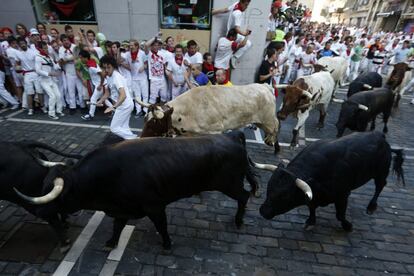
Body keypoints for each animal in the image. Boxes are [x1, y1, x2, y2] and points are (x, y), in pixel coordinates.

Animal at [14, 132, 268, 250]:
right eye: (43, 185)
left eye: (55, 195)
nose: (39, 212)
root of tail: (231, 135)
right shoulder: (122, 209)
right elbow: (117, 227)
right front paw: (110, 242)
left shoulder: (155, 206)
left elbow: (161, 226)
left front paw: (167, 244)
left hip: (230, 184)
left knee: (244, 196)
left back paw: (238, 221)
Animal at [137, 83, 282, 153]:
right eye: (145, 119)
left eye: (154, 122)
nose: (141, 138)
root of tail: (265, 86)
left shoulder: (214, 131)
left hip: (268, 120)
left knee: (276, 126)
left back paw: (273, 144)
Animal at [260, 133, 406, 232]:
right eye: (269, 188)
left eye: (285, 195)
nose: (263, 211)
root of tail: (381, 136)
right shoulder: (312, 196)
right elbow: (311, 208)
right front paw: (310, 221)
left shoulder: (343, 195)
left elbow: (340, 215)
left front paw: (348, 226)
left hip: (381, 172)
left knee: (380, 186)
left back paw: (371, 206)